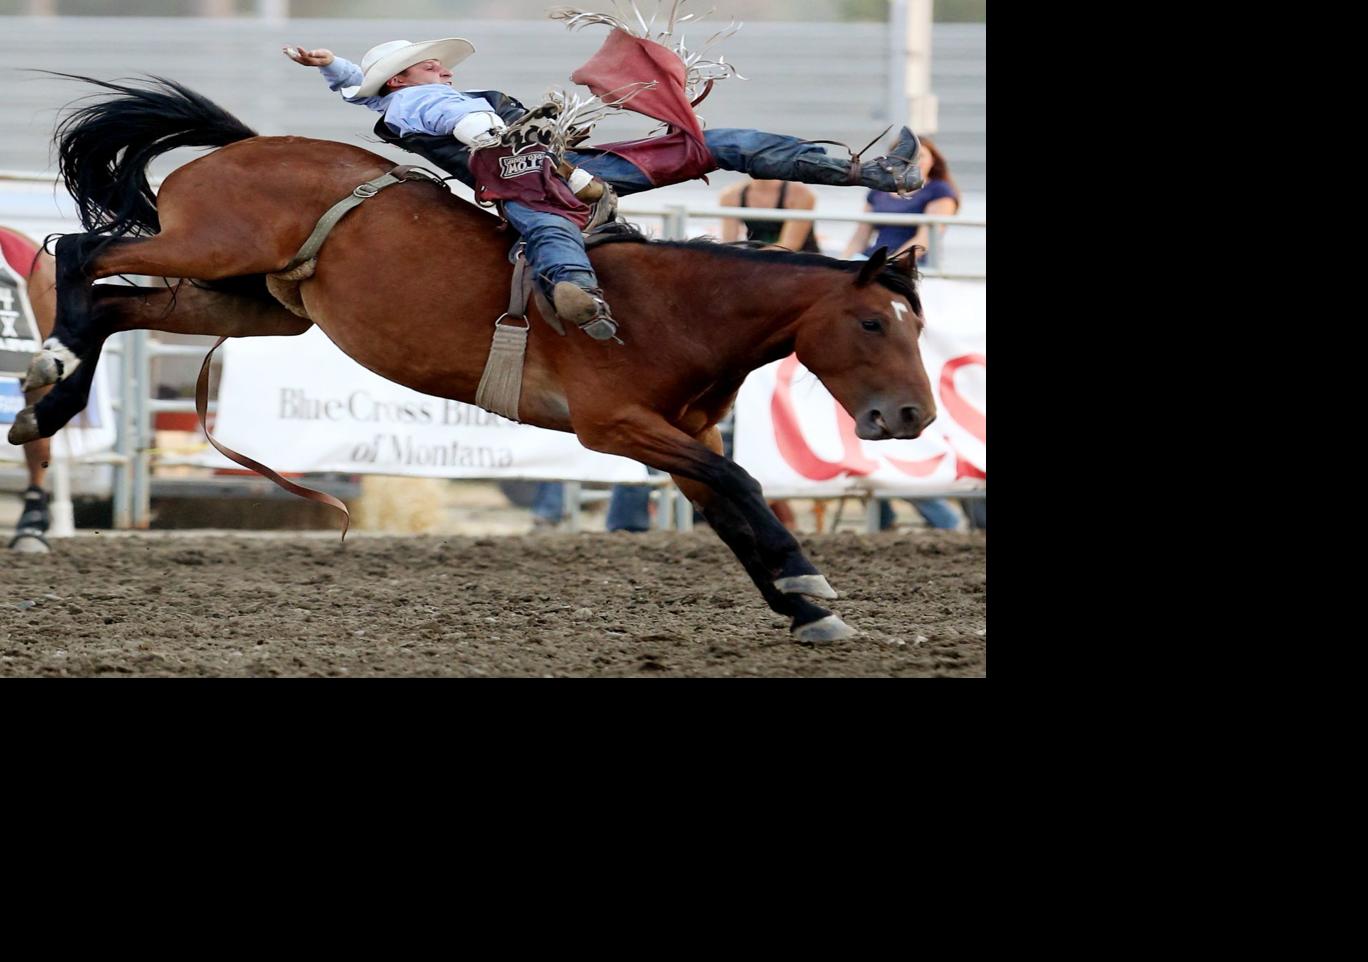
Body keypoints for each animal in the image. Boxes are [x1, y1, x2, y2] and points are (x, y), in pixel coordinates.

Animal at [10, 79, 935, 643]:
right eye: (871, 324)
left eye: (915, 326)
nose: (914, 415)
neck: (681, 307)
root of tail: (244, 143)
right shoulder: (617, 426)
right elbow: (743, 484)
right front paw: (810, 588)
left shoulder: (682, 435)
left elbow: (731, 508)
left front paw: (802, 605)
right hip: (208, 247)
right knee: (84, 251)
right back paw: (48, 367)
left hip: (255, 303)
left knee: (117, 304)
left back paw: (45, 402)